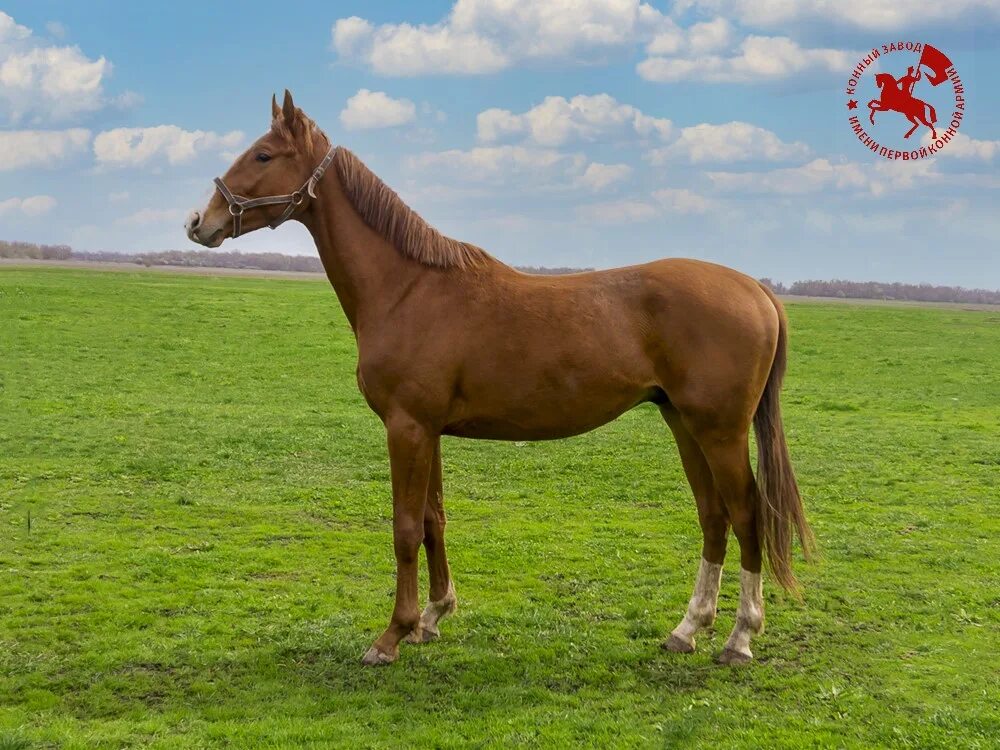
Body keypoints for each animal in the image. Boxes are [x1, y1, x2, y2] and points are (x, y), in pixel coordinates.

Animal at [188, 92, 812, 668]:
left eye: (263, 154)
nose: (199, 222)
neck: (408, 288)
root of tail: (756, 290)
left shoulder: (407, 428)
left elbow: (405, 528)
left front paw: (392, 635)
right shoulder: (427, 430)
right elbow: (434, 520)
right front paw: (433, 617)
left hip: (720, 432)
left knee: (748, 515)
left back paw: (739, 638)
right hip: (684, 423)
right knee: (713, 517)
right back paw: (688, 629)